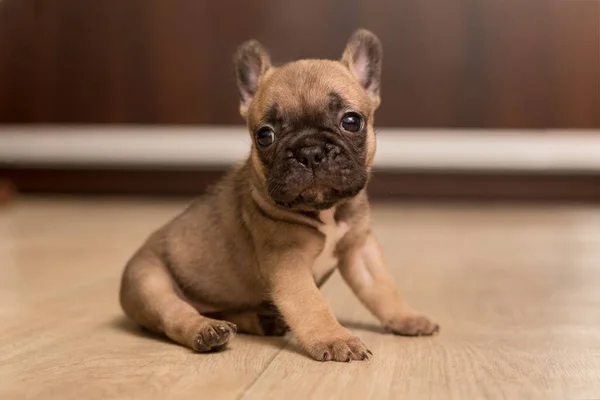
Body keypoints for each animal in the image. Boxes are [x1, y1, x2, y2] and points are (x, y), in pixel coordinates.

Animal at [119, 28, 438, 362]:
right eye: (265, 135)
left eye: (351, 121)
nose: (310, 152)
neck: (324, 210)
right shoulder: (288, 262)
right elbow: (311, 304)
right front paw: (336, 339)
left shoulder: (359, 247)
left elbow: (382, 287)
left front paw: (406, 317)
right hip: (148, 281)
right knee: (174, 314)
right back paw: (206, 331)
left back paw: (261, 321)